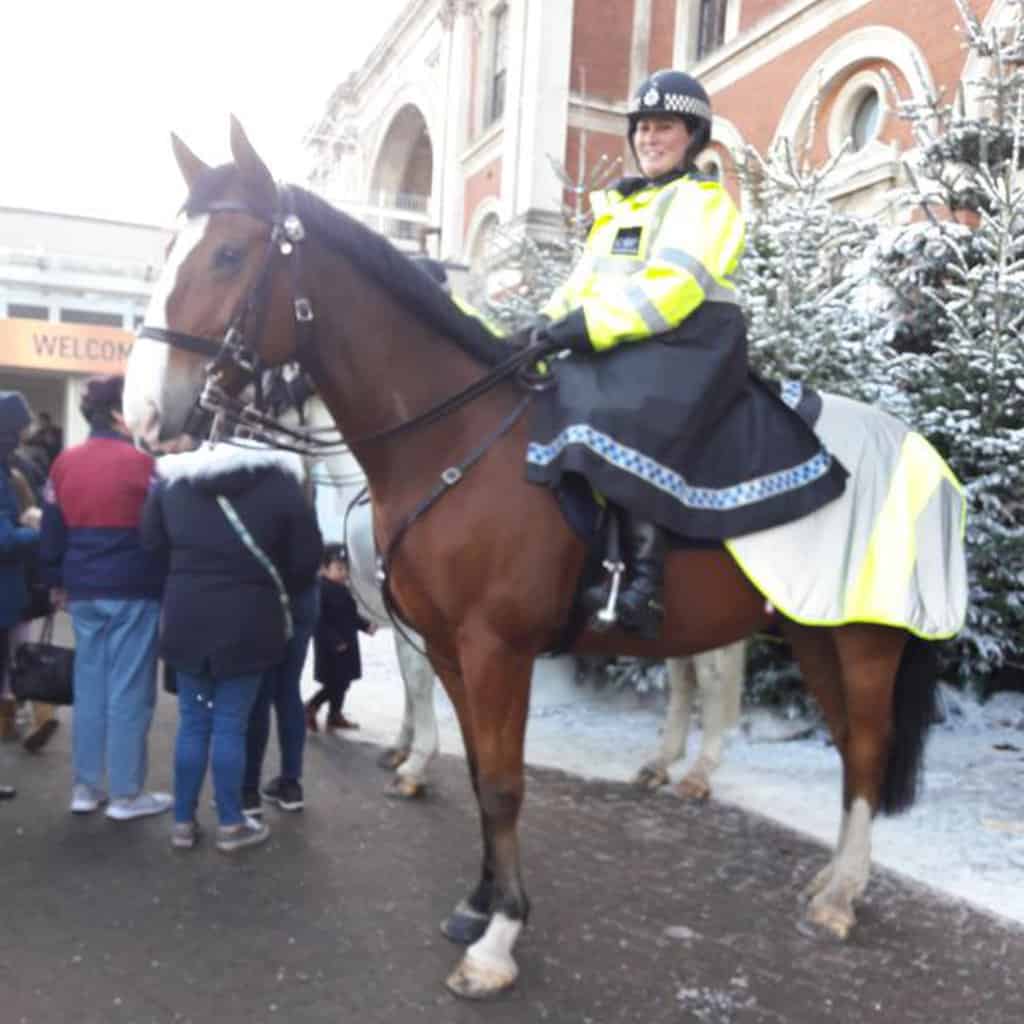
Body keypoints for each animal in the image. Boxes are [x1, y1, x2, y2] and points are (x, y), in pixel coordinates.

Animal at [125, 117, 950, 991]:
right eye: (169, 249)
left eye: (227, 254)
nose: (147, 411)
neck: (454, 442)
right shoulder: (448, 646)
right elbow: (477, 770)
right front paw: (477, 903)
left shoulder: (497, 648)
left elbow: (503, 785)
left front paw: (498, 939)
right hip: (813, 632)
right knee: (844, 750)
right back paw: (820, 874)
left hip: (866, 640)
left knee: (866, 748)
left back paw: (839, 895)